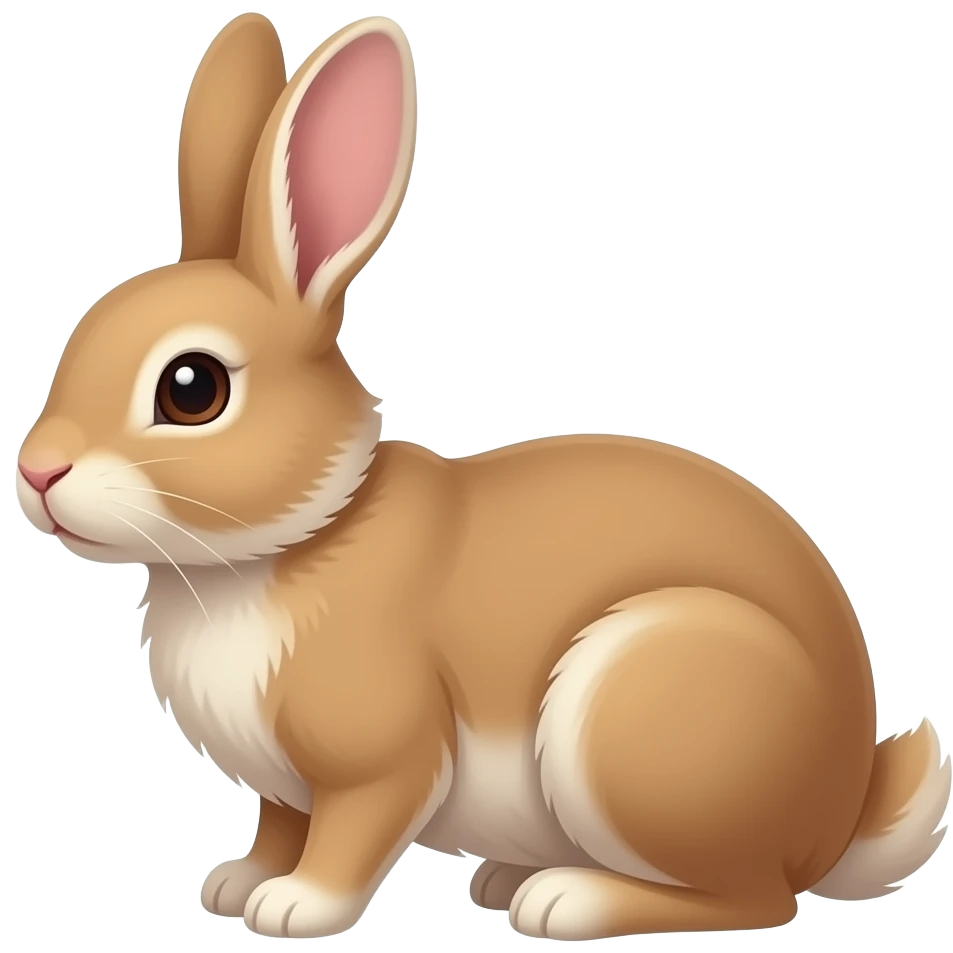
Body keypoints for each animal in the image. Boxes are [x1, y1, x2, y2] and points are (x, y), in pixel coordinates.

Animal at [15, 12, 951, 942]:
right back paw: (508, 878)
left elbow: (350, 832)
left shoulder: (380, 756)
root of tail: (838, 814)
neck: (289, 539)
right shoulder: (285, 784)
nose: (37, 471)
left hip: (638, 715)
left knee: (753, 897)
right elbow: (279, 824)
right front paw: (235, 883)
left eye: (192, 388)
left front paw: (294, 906)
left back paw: (566, 899)